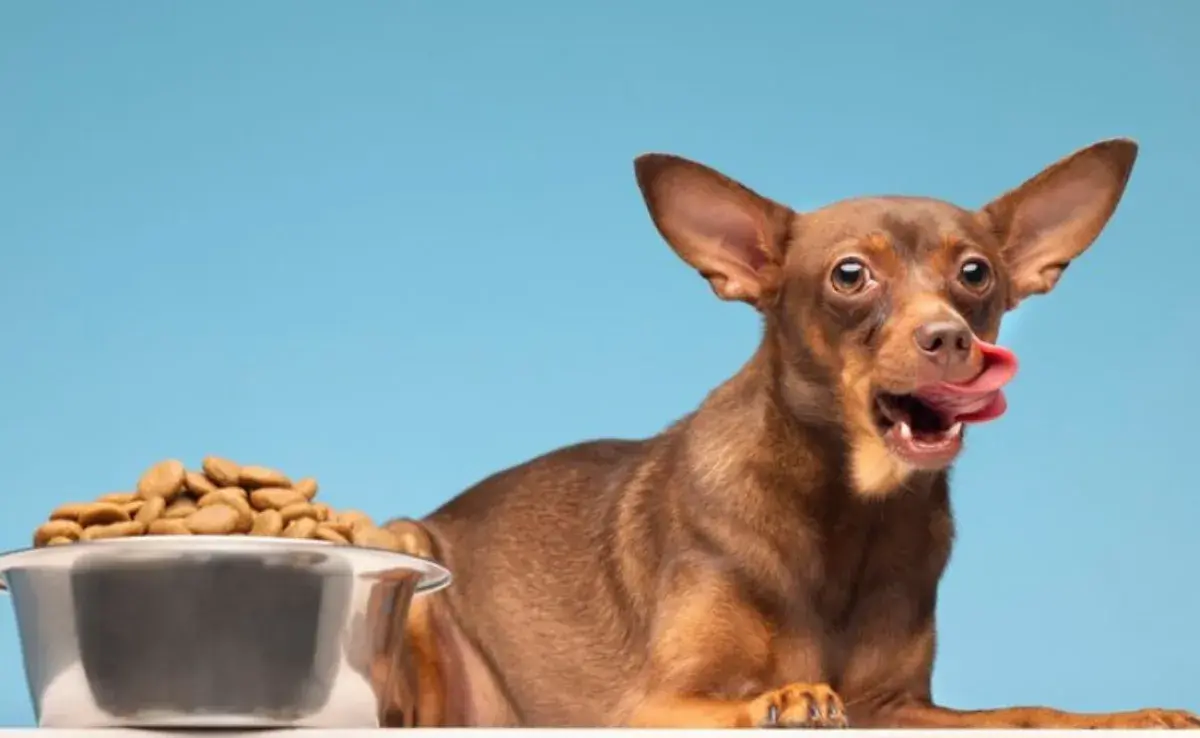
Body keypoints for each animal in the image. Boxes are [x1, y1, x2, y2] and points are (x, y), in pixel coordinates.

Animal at [384, 137, 1200, 729]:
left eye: (975, 274)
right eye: (850, 275)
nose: (949, 339)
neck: (847, 512)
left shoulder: (895, 708)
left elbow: (1026, 713)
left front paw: (1129, 717)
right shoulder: (654, 704)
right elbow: (750, 700)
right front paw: (786, 698)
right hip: (407, 551)